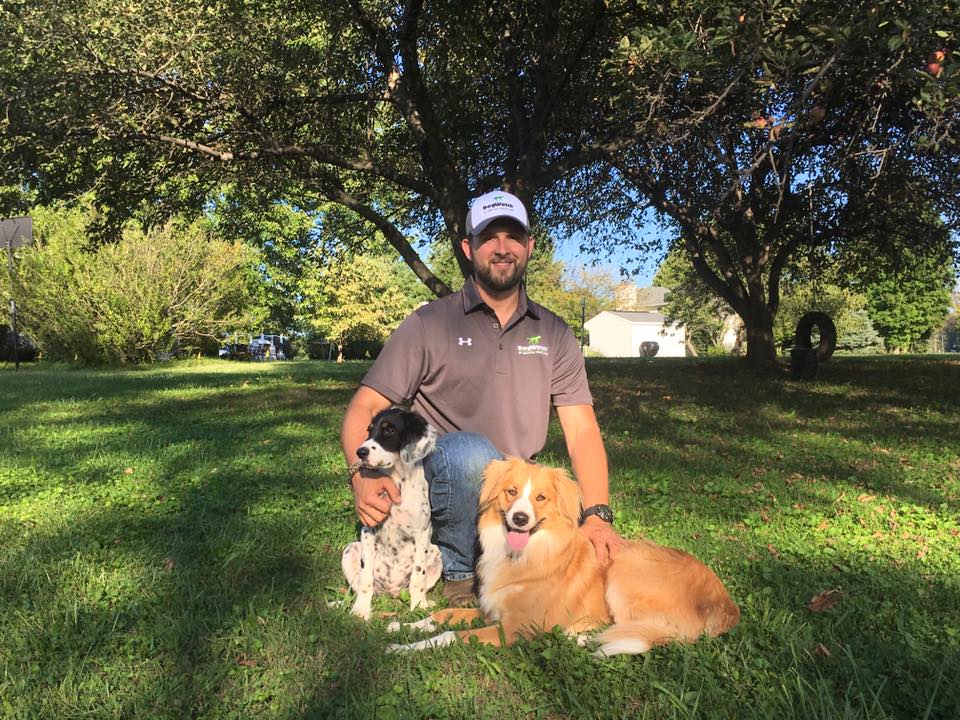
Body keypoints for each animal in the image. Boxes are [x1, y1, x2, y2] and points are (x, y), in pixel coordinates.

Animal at [342, 404, 442, 620]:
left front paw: (419, 605)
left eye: (389, 430)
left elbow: (418, 575)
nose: (360, 452)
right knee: (358, 585)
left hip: (436, 553)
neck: (398, 480)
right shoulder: (368, 530)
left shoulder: (423, 533)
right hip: (350, 550)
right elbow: (365, 578)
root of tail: (391, 592)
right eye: (370, 430)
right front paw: (361, 610)